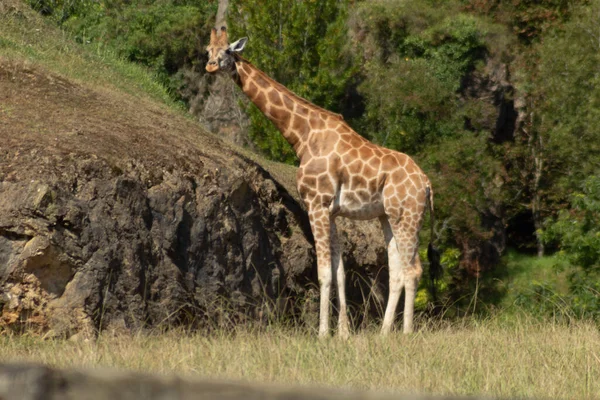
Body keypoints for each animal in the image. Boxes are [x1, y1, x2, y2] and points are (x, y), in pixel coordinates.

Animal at [206, 26, 440, 338]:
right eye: (208, 50)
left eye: (228, 51)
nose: (210, 66)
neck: (302, 136)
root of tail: (426, 184)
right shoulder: (331, 211)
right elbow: (340, 272)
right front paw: (342, 333)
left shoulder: (316, 204)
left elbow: (324, 273)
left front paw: (322, 334)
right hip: (388, 217)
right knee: (398, 271)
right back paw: (383, 332)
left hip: (408, 215)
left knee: (413, 270)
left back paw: (406, 333)